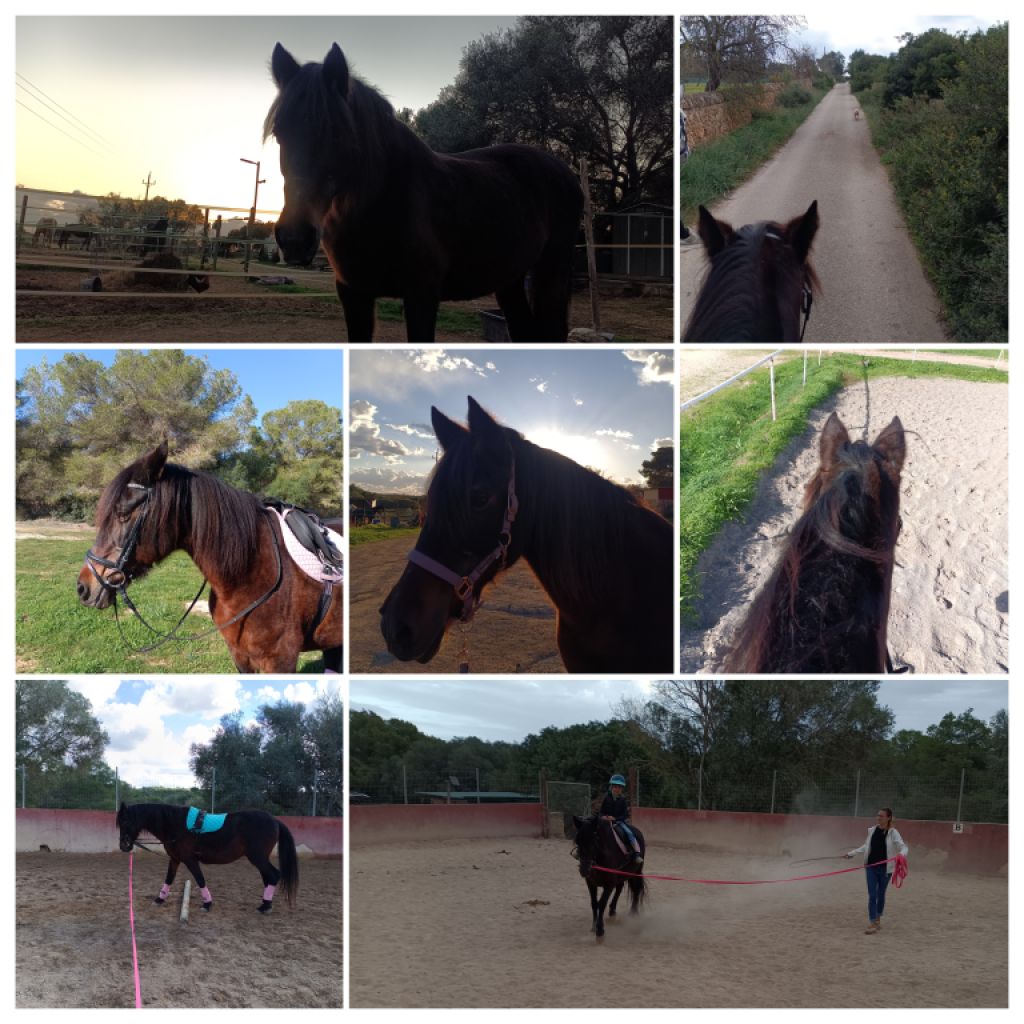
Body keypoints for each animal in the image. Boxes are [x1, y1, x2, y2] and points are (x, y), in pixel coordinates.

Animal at [116, 803, 298, 914]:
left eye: (125, 822)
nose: (124, 846)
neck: (175, 824)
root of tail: (275, 820)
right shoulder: (175, 859)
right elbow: (169, 879)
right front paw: (159, 899)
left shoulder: (190, 860)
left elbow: (200, 879)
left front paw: (207, 903)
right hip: (259, 859)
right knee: (268, 877)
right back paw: (266, 904)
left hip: (257, 857)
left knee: (274, 875)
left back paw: (265, 906)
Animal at [264, 43, 583, 343]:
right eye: (279, 133)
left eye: (337, 133)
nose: (294, 239)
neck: (383, 203)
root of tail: (565, 170)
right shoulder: (354, 294)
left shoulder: (422, 295)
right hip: (509, 277)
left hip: (552, 273)